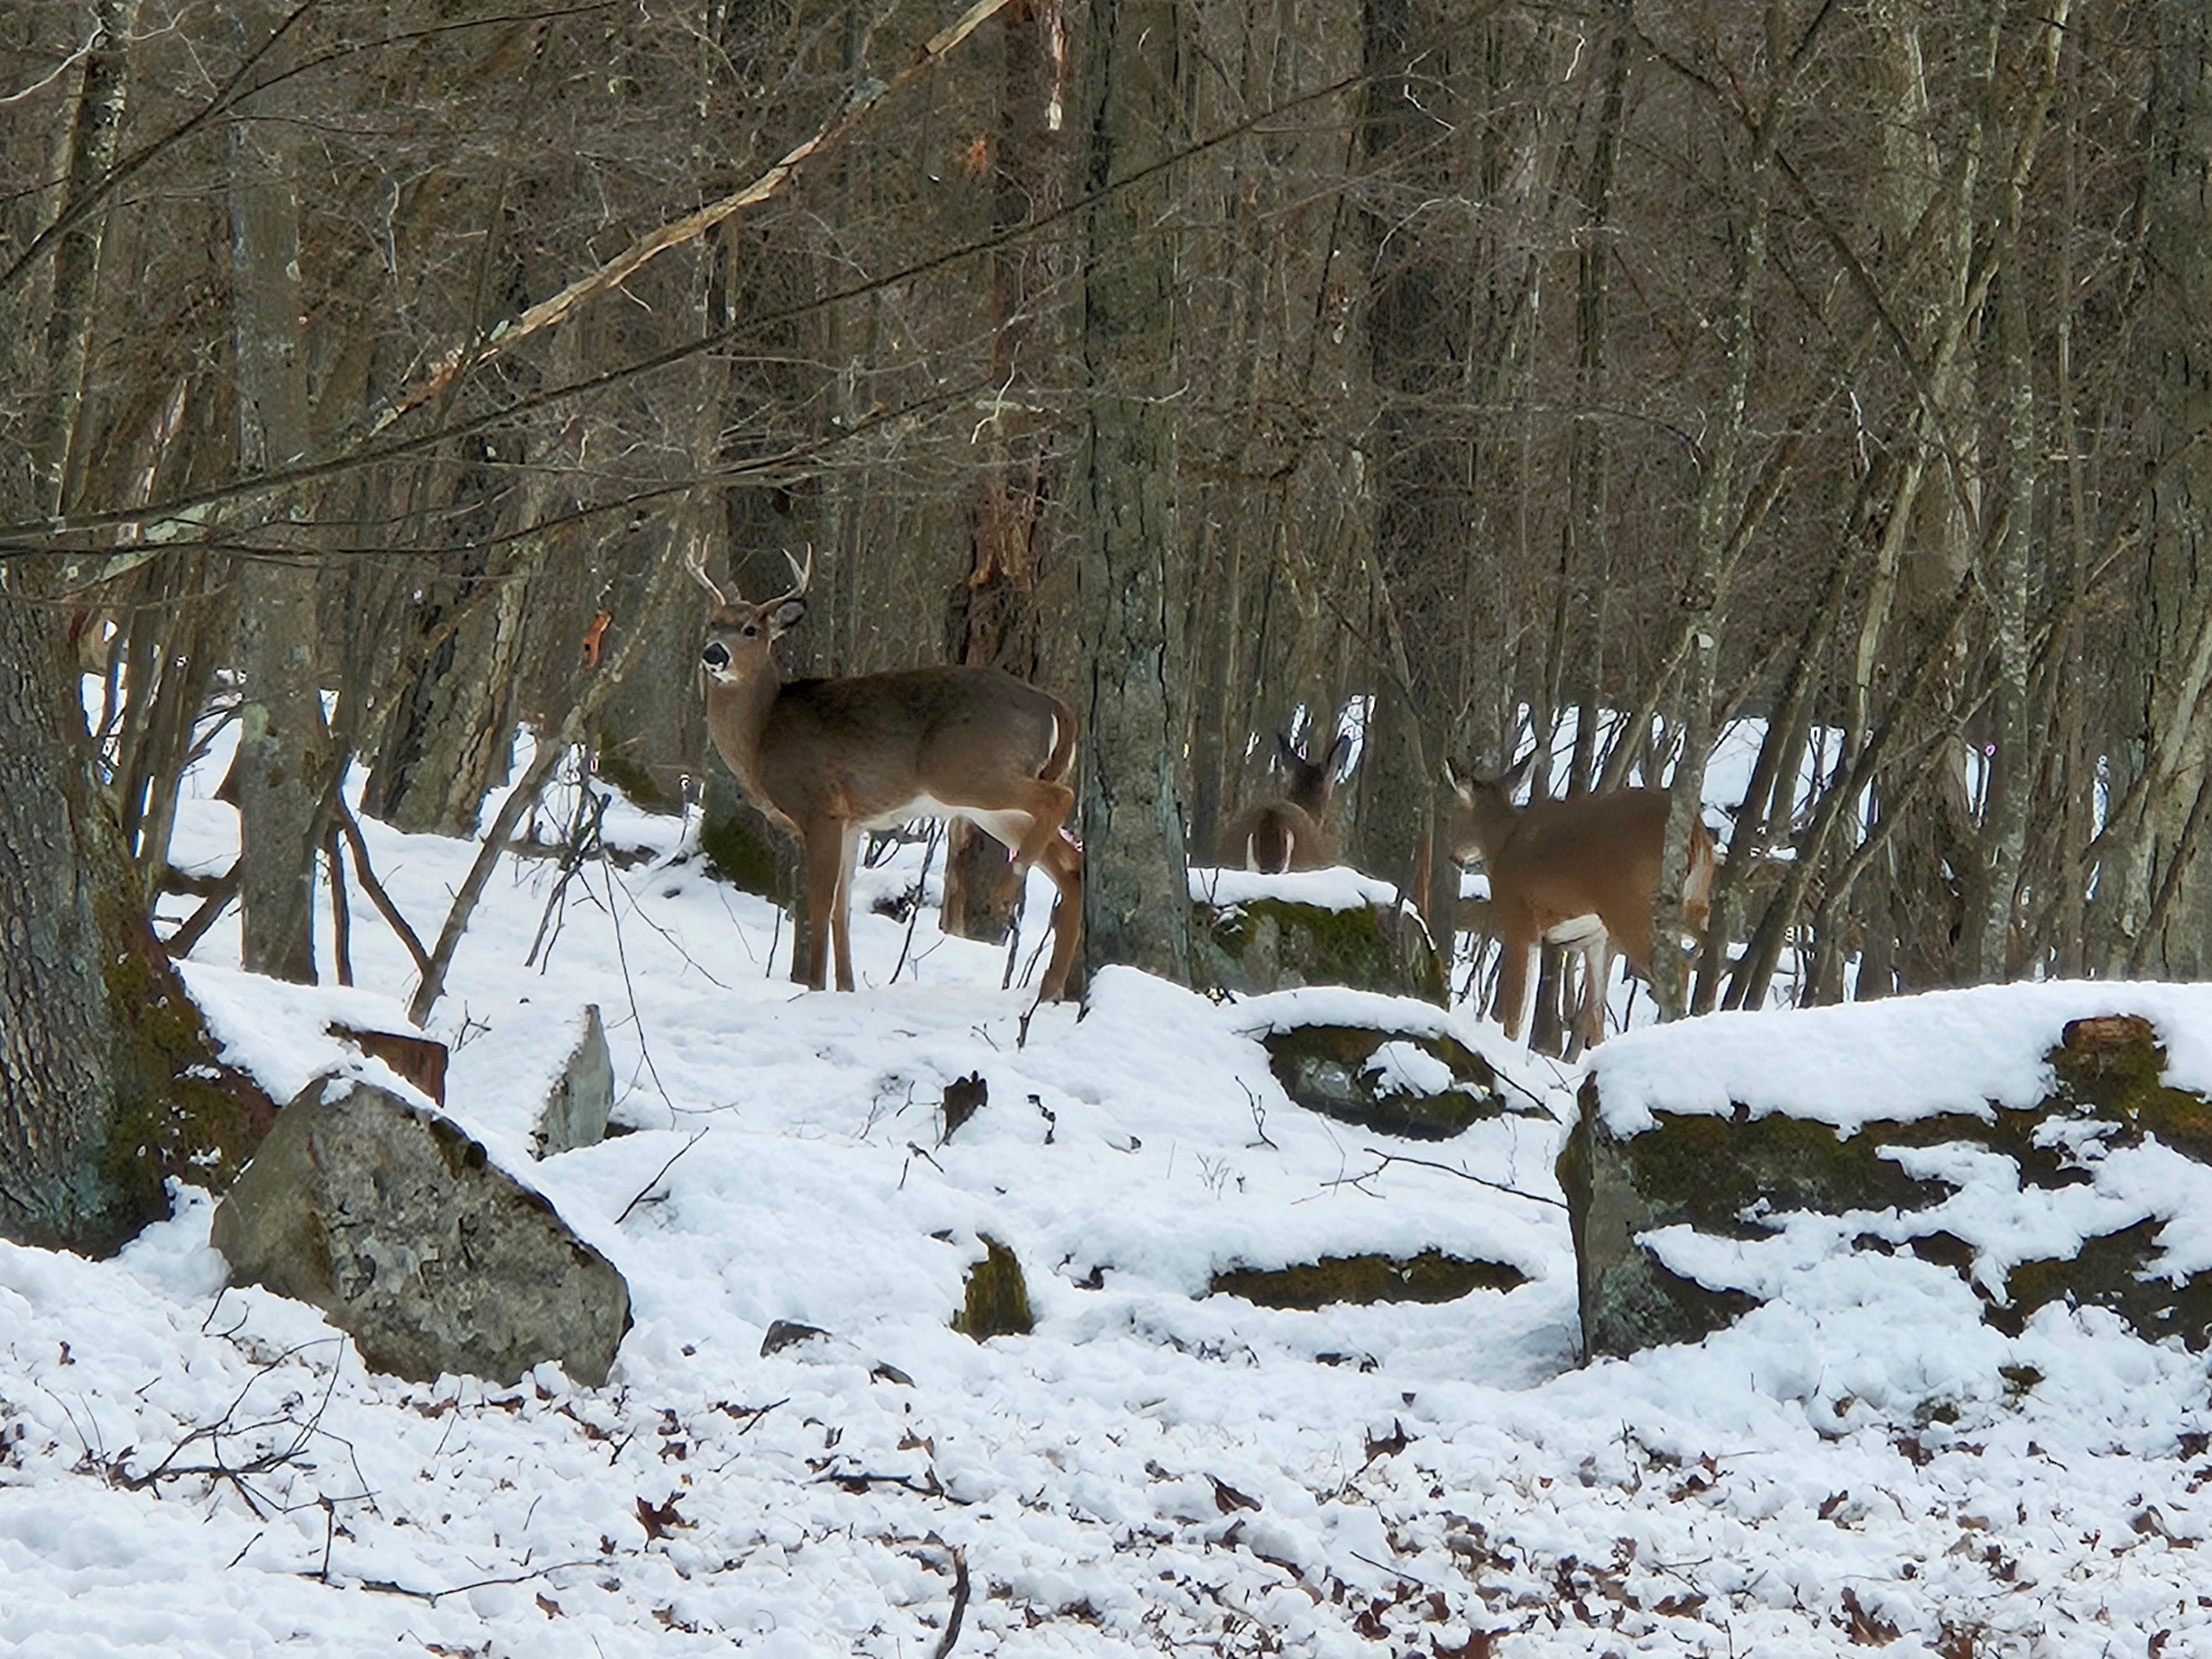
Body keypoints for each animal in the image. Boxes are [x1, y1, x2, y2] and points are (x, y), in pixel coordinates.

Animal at [690, 548, 1083, 1000]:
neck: (762, 734)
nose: (714, 654)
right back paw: (1049, 988)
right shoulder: (852, 822)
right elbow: (841, 910)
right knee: (1071, 864)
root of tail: (1057, 708)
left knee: (1060, 801)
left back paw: (1008, 887)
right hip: (990, 806)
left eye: (751, 629)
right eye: (712, 623)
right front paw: (846, 987)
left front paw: (814, 987)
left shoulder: (820, 807)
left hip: (964, 772)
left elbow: (819, 903)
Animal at [1445, 753, 1715, 1050]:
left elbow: (1513, 1014)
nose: (1453, 856)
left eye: (1453, 812)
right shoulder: (1595, 939)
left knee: (1674, 972)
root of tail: (1696, 834)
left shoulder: (1520, 922)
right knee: (1695, 959)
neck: (1502, 844)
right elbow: (1595, 1015)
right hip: (1695, 903)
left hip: (1631, 908)